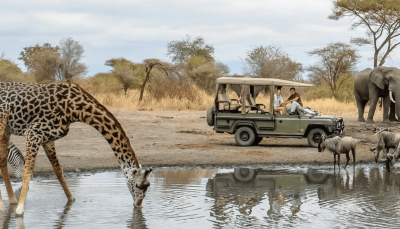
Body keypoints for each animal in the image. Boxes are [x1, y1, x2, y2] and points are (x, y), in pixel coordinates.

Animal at [0, 81, 152, 216]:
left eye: (148, 186)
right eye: (139, 186)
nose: (139, 205)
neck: (74, 109)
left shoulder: (48, 139)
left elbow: (58, 171)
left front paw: (71, 200)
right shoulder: (33, 133)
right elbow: (27, 171)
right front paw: (19, 210)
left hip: (6, 130)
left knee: (3, 162)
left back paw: (11, 201)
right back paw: (5, 207)